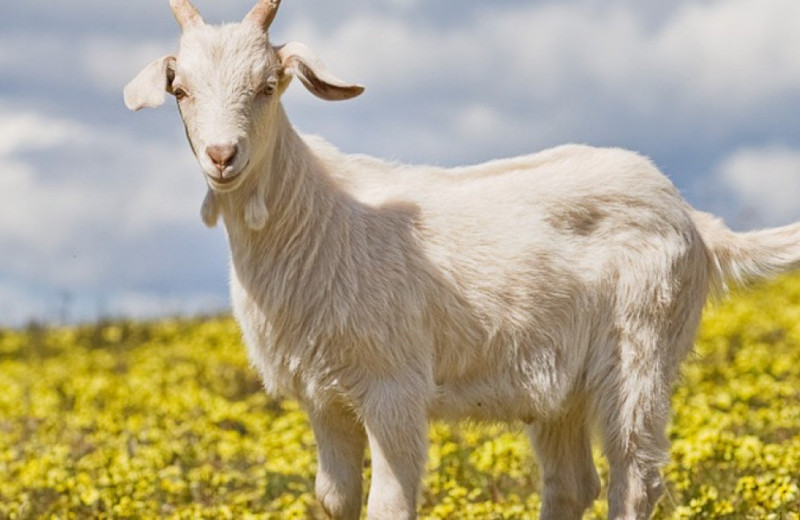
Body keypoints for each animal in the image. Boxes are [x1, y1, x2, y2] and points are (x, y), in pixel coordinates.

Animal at [124, 1, 800, 518]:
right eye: (180, 89)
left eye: (268, 85)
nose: (222, 156)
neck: (316, 217)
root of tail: (693, 219)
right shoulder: (323, 397)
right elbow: (335, 499)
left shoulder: (393, 388)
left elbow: (389, 503)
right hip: (562, 382)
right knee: (571, 483)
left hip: (642, 347)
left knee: (634, 478)